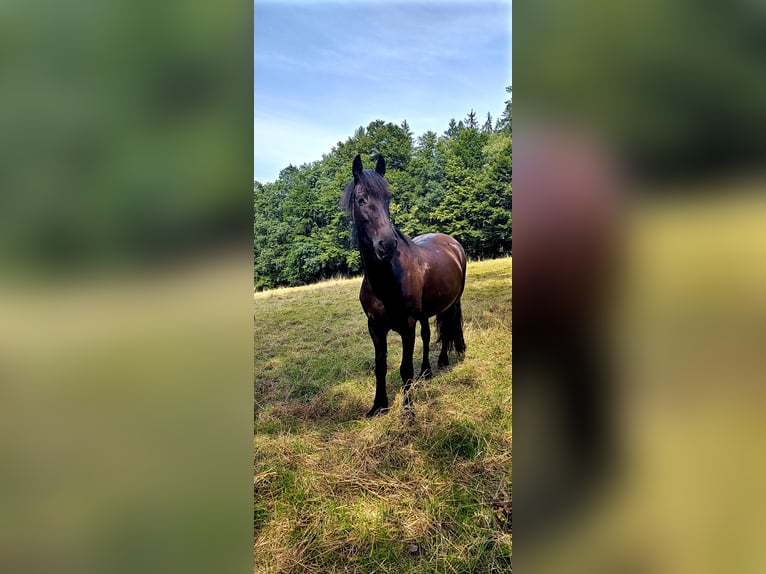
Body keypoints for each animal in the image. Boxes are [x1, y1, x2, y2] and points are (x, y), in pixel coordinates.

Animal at [340, 154, 467, 417]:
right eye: (361, 199)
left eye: (388, 199)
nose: (387, 245)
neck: (385, 282)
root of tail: (452, 242)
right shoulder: (375, 328)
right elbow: (380, 367)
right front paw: (378, 406)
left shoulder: (407, 325)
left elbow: (405, 368)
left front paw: (407, 410)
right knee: (428, 335)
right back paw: (427, 371)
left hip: (451, 302)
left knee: (447, 328)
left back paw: (443, 360)